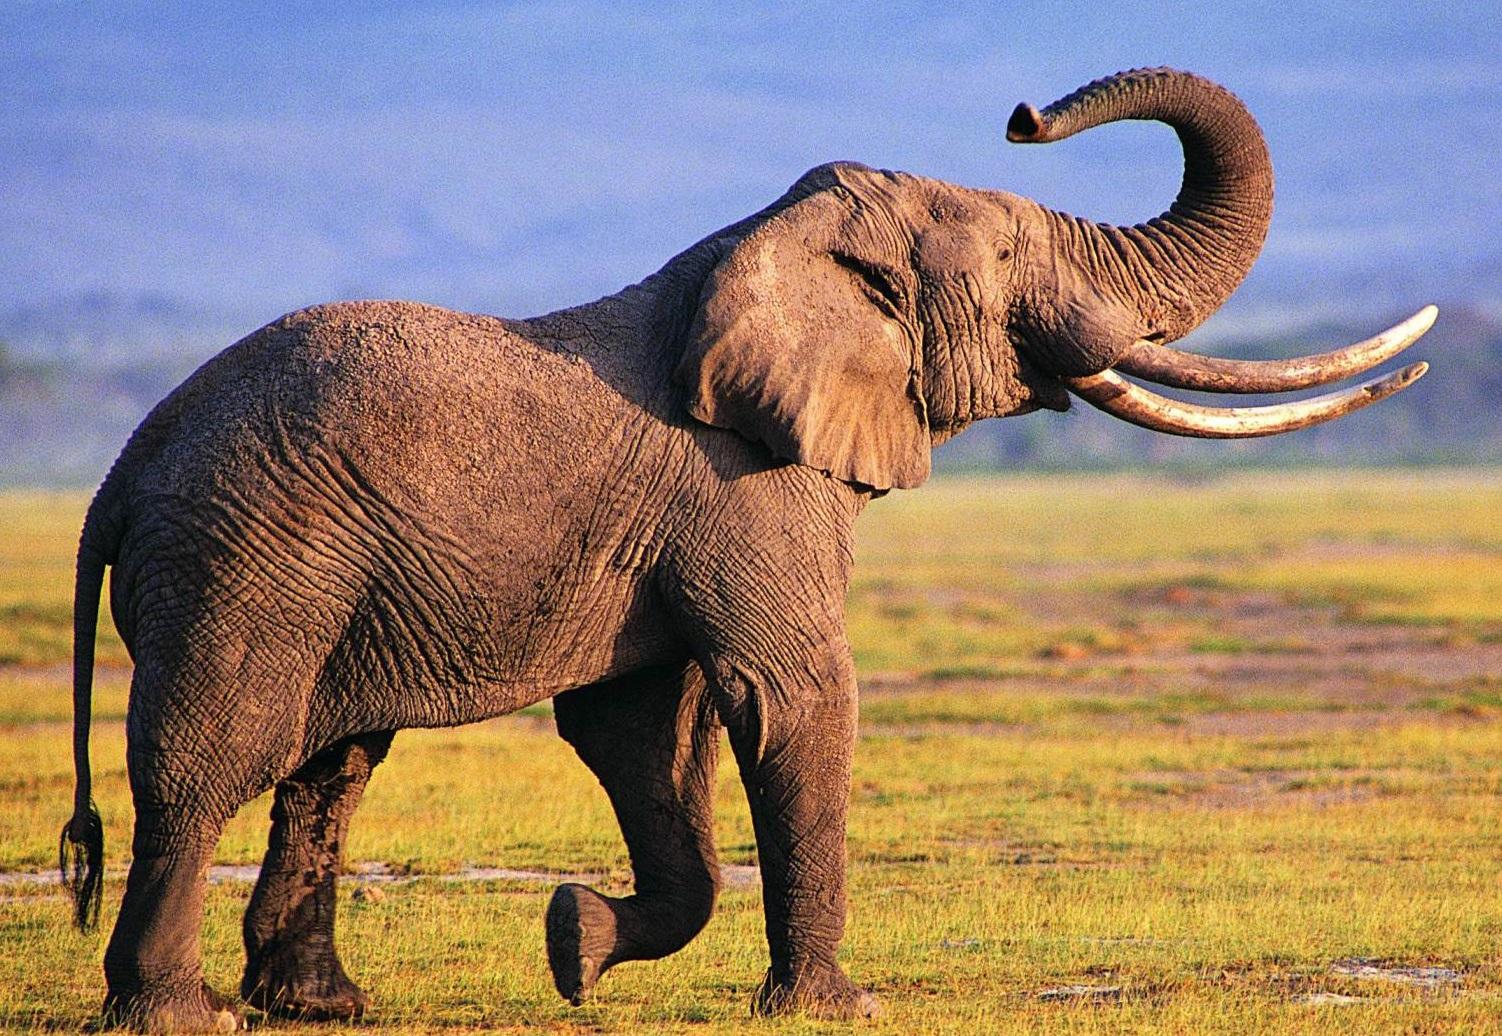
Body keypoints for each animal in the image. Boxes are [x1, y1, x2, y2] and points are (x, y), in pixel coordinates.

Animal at [58, 67, 1432, 1031]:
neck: (766, 244)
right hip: (247, 555)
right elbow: (792, 697)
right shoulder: (747, 489)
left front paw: (573, 942)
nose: (1023, 112)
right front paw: (837, 1007)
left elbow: (639, 731)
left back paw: (323, 1005)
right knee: (215, 755)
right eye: (1003, 255)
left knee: (330, 763)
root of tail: (122, 468)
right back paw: (178, 1014)